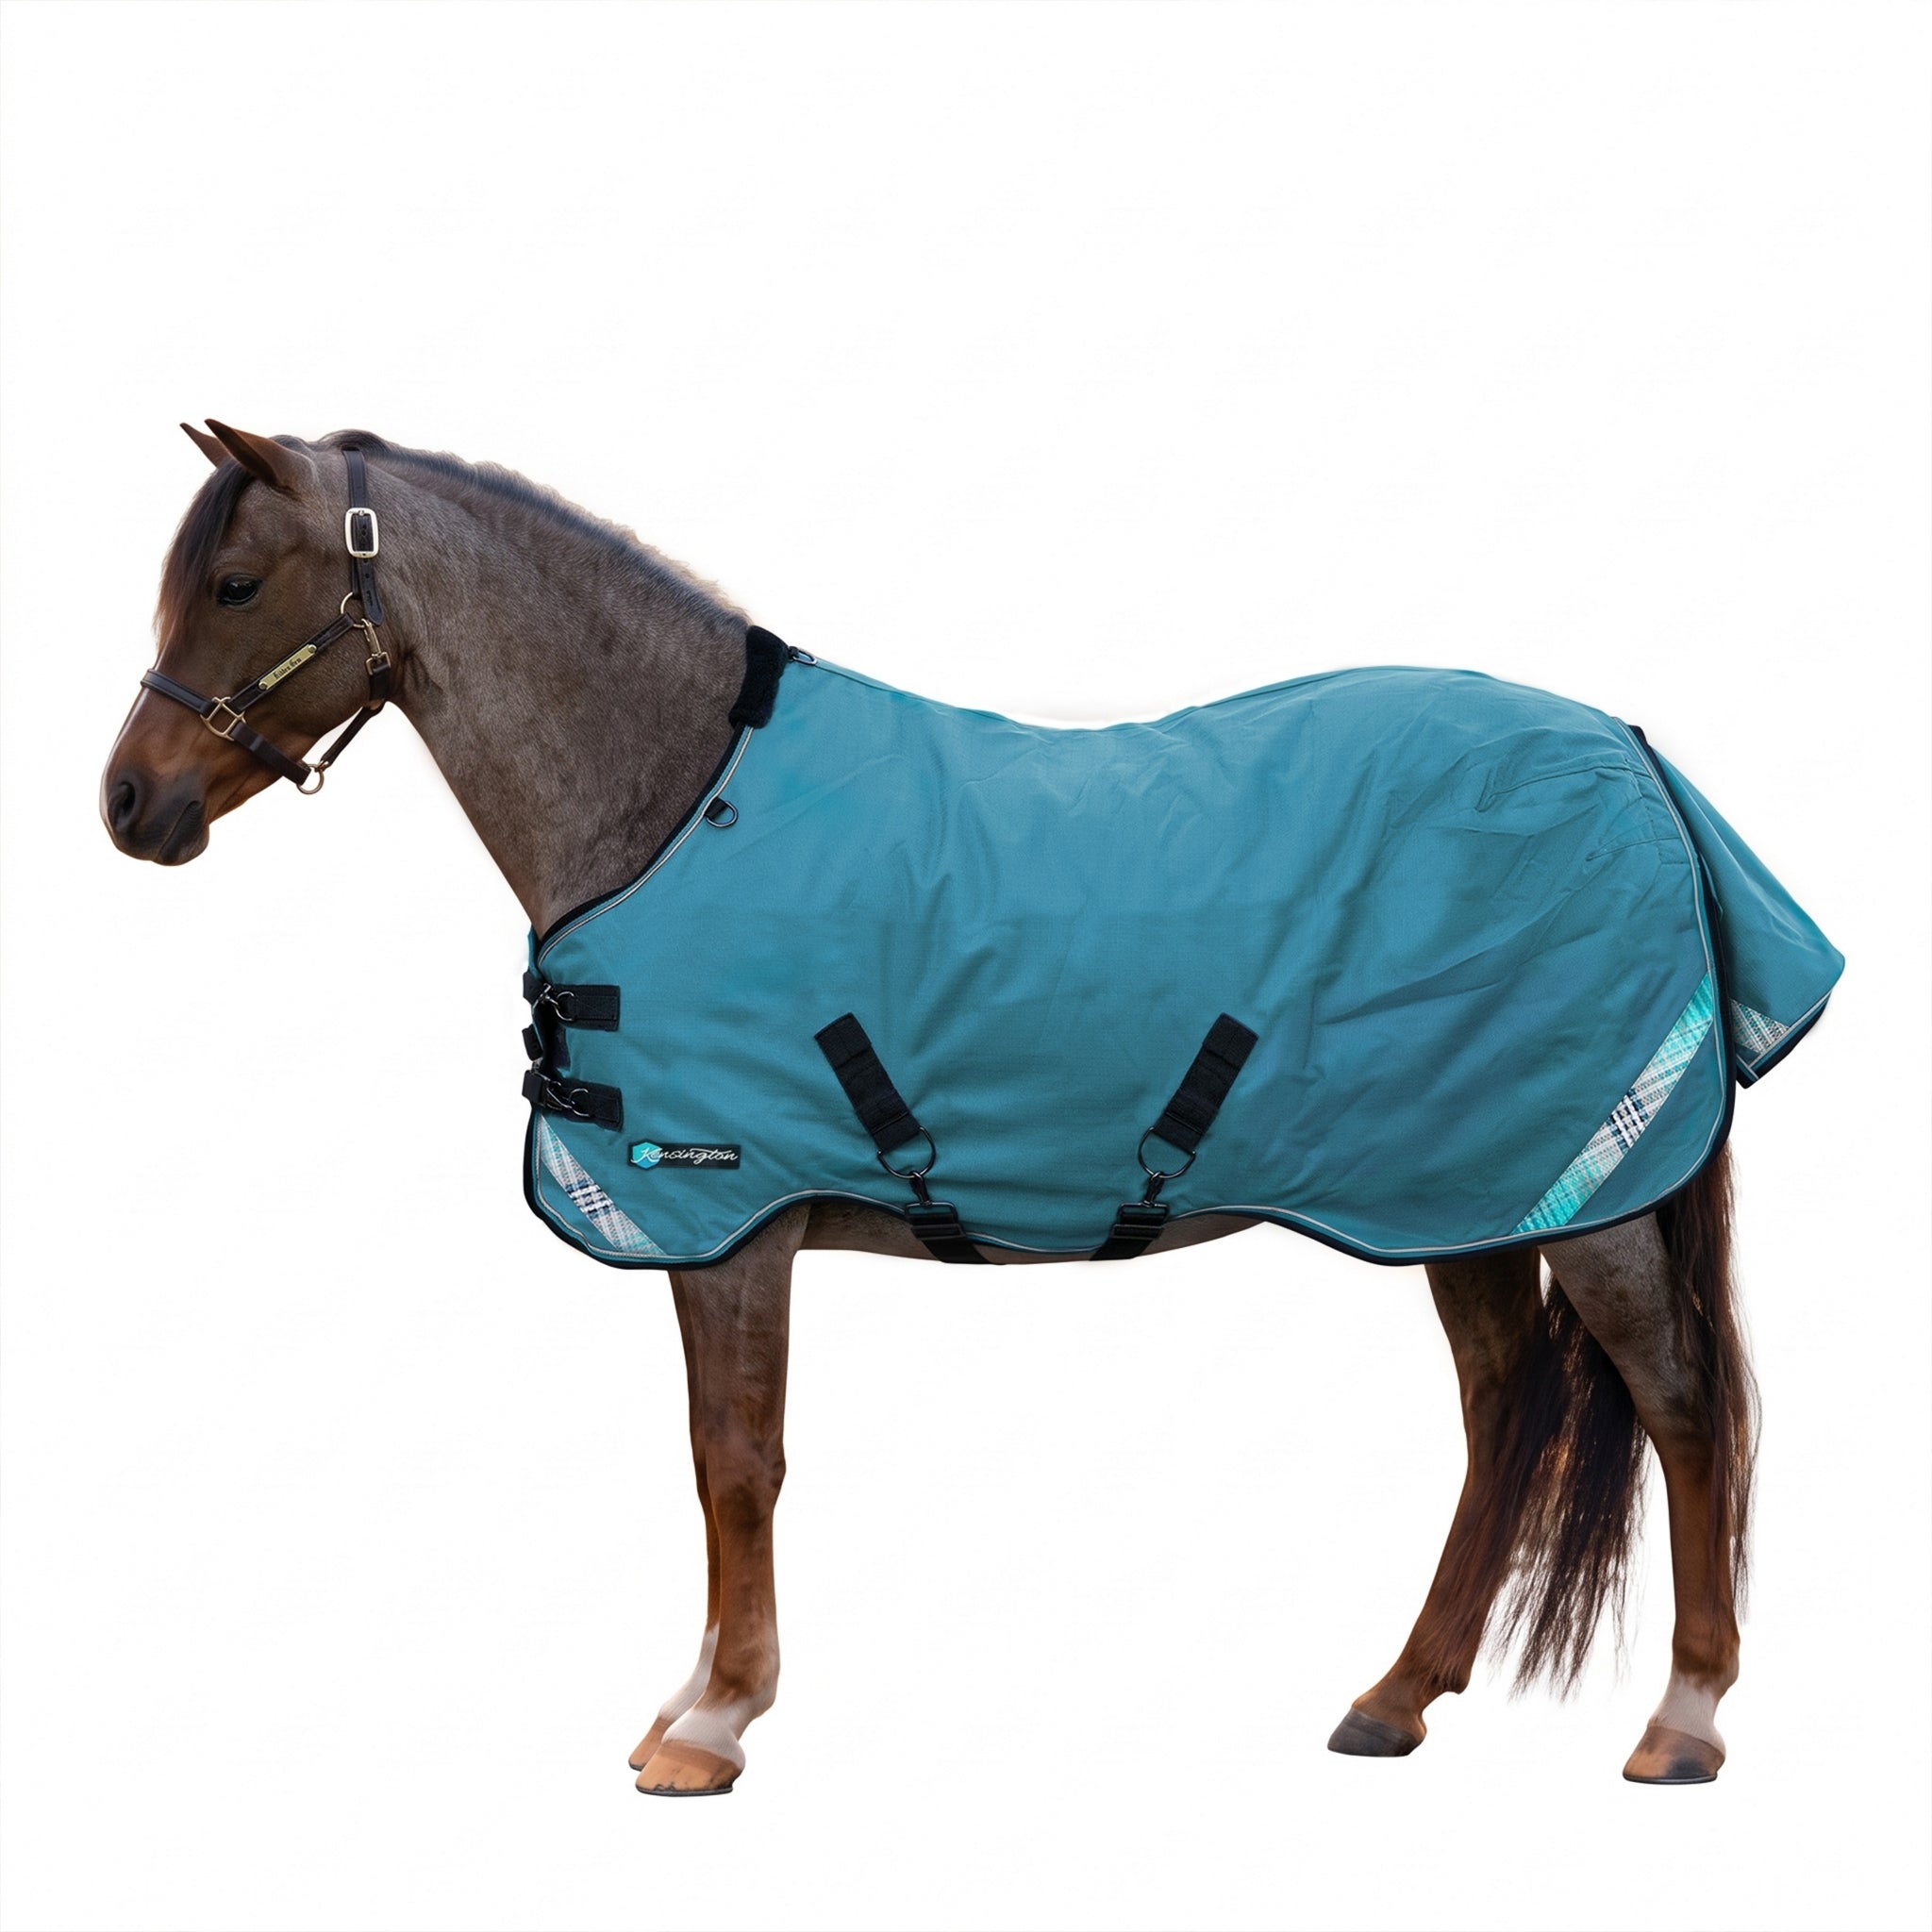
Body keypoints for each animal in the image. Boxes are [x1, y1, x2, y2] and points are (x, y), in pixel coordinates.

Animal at [102, 419, 1804, 1796]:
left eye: (236, 582)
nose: (130, 805)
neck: (673, 800)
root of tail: (1632, 756)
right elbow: (720, 1455)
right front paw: (695, 1700)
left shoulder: (726, 1215)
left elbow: (738, 1458)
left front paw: (711, 1722)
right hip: (1460, 1195)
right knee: (1505, 1405)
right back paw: (1395, 1698)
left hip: (1584, 1193)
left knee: (1676, 1404)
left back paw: (1684, 1719)